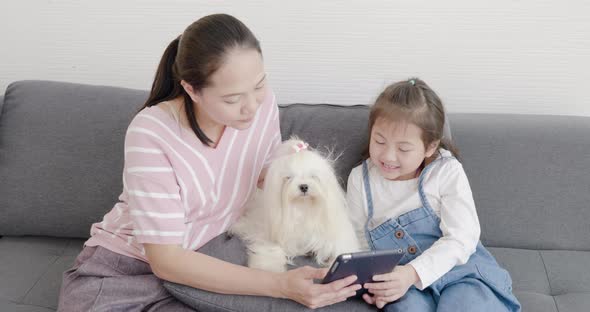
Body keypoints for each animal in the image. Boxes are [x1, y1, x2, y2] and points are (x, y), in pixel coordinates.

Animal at [230, 140, 360, 272]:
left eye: (313, 176)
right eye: (288, 177)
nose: (303, 186)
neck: (303, 208)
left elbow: (341, 250)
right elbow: (272, 250)